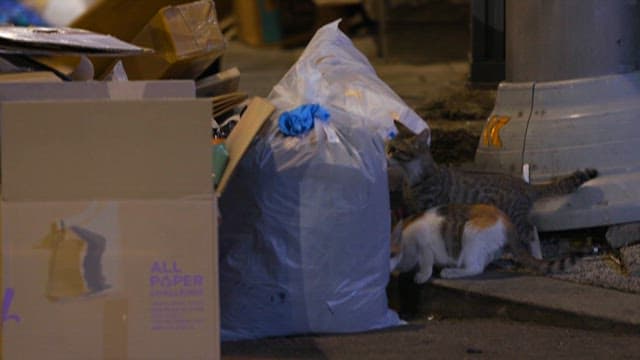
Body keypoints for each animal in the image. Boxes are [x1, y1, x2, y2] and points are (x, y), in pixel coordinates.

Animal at [388, 119, 596, 274]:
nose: (386, 153)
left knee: (530, 232)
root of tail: (524, 184)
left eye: (396, 149)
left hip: (515, 216)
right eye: (388, 145)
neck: (413, 176)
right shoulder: (415, 208)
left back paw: (534, 257)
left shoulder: (431, 207)